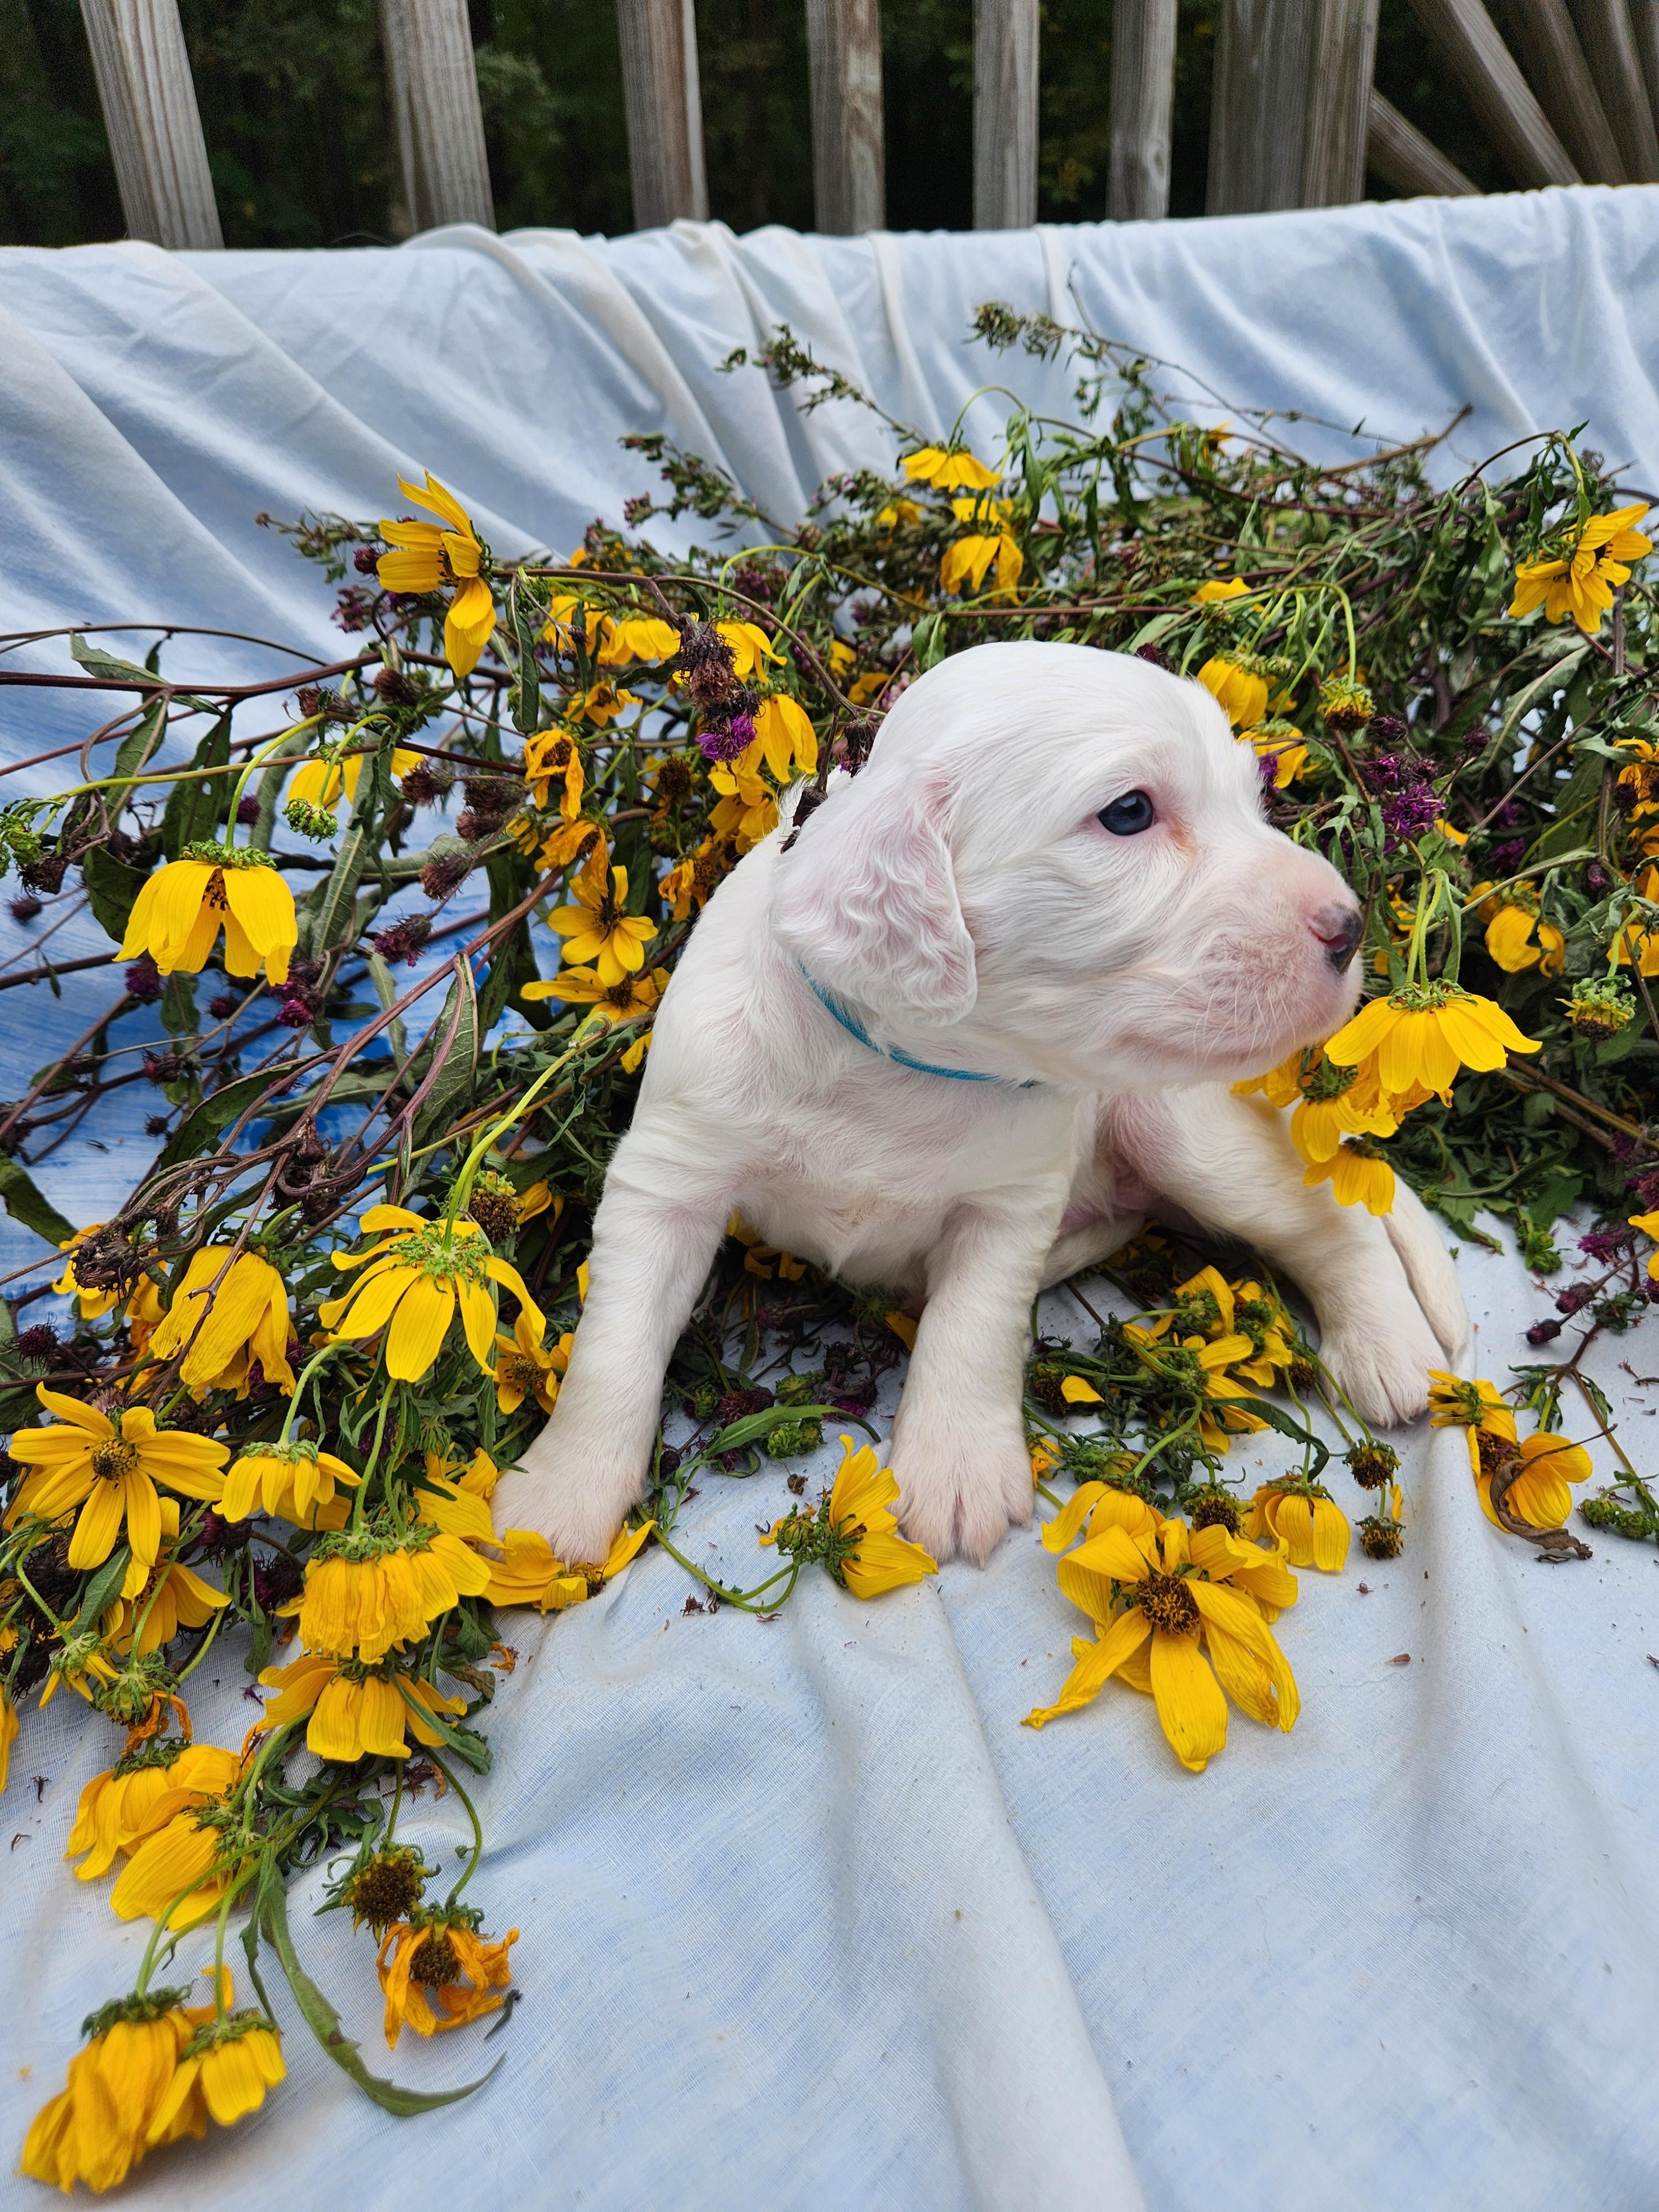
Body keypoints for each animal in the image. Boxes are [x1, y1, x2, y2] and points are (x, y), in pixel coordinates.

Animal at [491, 643, 1467, 1566]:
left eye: (1250, 801)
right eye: (1129, 812)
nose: (1349, 927)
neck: (905, 1069)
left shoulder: (1007, 1206)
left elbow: (972, 1326)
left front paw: (957, 1469)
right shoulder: (672, 1174)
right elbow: (615, 1346)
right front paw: (561, 1499)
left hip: (1185, 1127)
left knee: (1333, 1222)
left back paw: (1388, 1348)